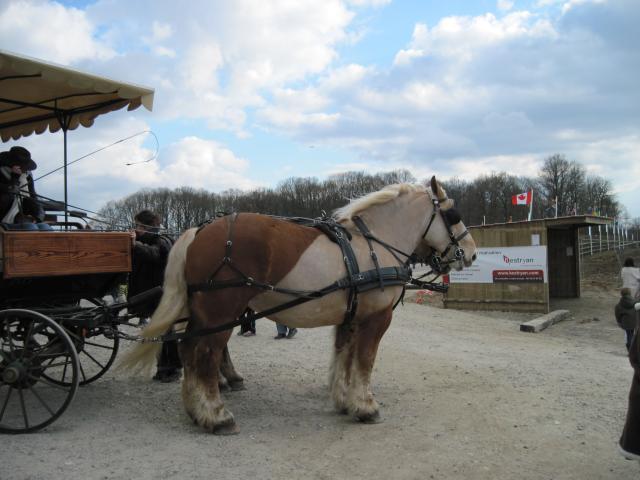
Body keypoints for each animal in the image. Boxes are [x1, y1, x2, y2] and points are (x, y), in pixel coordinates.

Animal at [121, 177, 476, 436]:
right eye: (454, 215)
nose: (471, 253)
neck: (372, 246)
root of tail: (201, 228)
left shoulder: (350, 317)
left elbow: (344, 357)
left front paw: (344, 400)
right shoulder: (376, 319)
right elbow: (364, 361)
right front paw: (365, 406)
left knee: (189, 351)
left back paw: (197, 410)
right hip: (221, 313)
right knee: (205, 354)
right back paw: (216, 415)